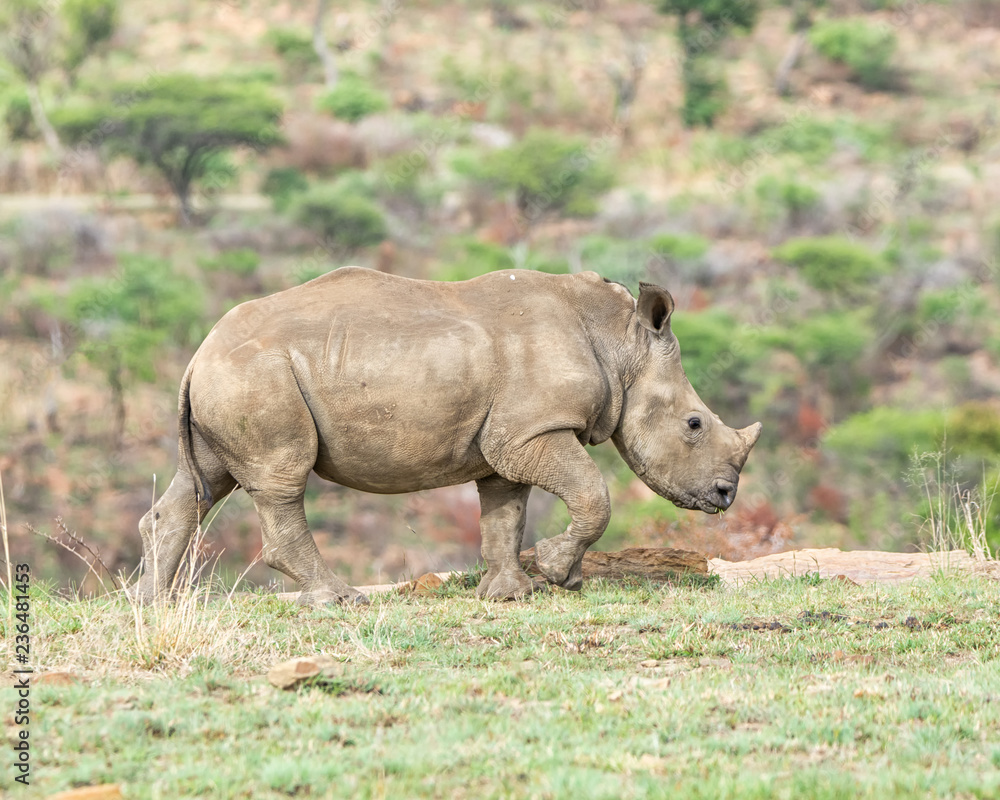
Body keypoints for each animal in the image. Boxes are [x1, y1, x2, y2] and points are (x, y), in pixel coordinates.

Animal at [138, 267, 761, 604]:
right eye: (695, 424)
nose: (726, 495)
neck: (621, 342)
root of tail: (200, 352)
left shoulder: (511, 439)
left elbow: (505, 514)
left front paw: (510, 593)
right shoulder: (533, 429)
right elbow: (592, 494)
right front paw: (560, 574)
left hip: (230, 379)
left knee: (205, 481)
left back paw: (153, 603)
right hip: (256, 374)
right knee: (280, 480)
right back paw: (338, 600)